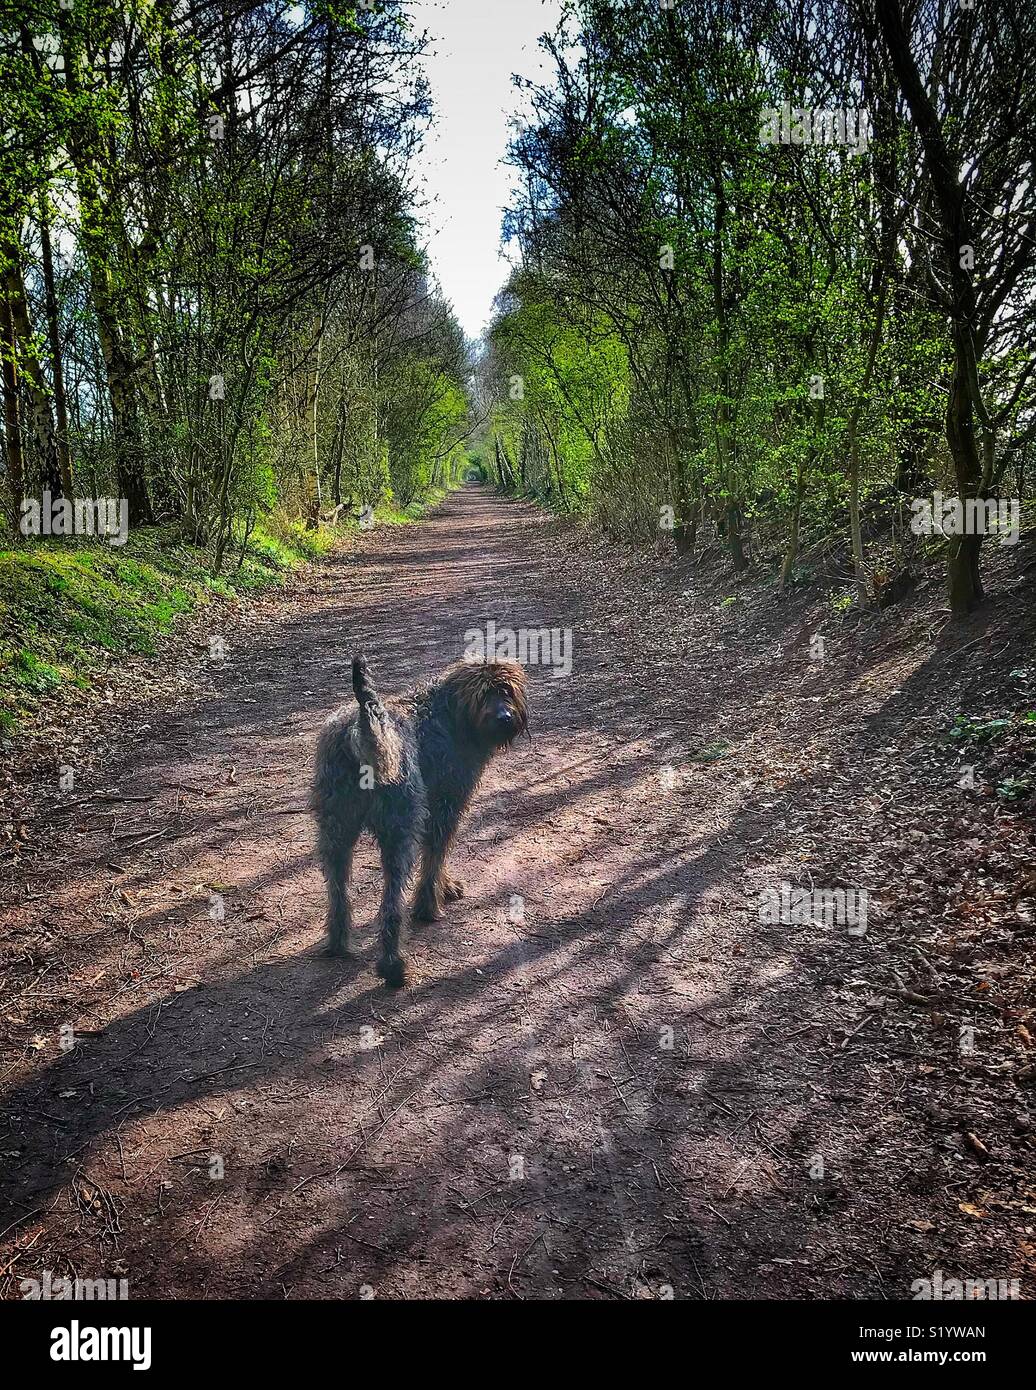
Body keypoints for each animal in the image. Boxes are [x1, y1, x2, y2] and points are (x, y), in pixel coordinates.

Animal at [308, 653, 528, 989]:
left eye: (506, 690)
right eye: (483, 694)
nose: (505, 717)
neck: (451, 715)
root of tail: (363, 727)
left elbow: (437, 857)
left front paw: (444, 887)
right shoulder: (445, 806)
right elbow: (436, 857)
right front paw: (431, 903)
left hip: (335, 830)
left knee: (337, 893)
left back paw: (339, 943)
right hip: (399, 832)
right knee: (390, 905)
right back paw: (393, 967)